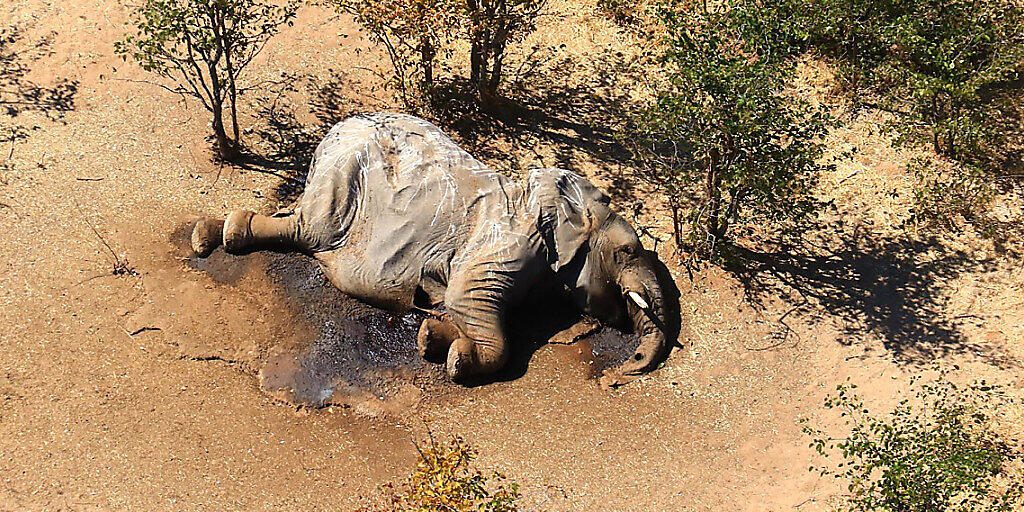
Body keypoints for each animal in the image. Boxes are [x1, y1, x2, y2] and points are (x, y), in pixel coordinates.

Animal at [191, 113, 676, 387]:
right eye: (629, 251)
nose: (614, 379)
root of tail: (334, 129)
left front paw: (432, 338)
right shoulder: (507, 243)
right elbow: (469, 301)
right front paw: (458, 359)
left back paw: (211, 234)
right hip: (342, 175)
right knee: (309, 230)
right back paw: (216, 235)